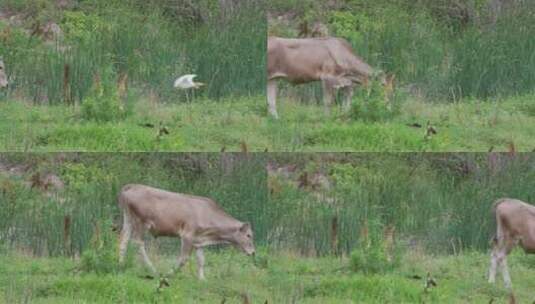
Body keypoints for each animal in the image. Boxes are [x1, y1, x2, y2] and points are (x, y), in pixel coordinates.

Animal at [118, 183, 255, 280]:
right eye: (249, 235)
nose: (253, 252)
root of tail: (133, 186)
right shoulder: (187, 236)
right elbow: (184, 259)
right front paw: (169, 274)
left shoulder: (199, 240)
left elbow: (201, 260)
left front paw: (202, 279)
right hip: (141, 223)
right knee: (138, 242)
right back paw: (152, 269)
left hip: (128, 219)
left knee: (123, 239)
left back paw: (120, 263)